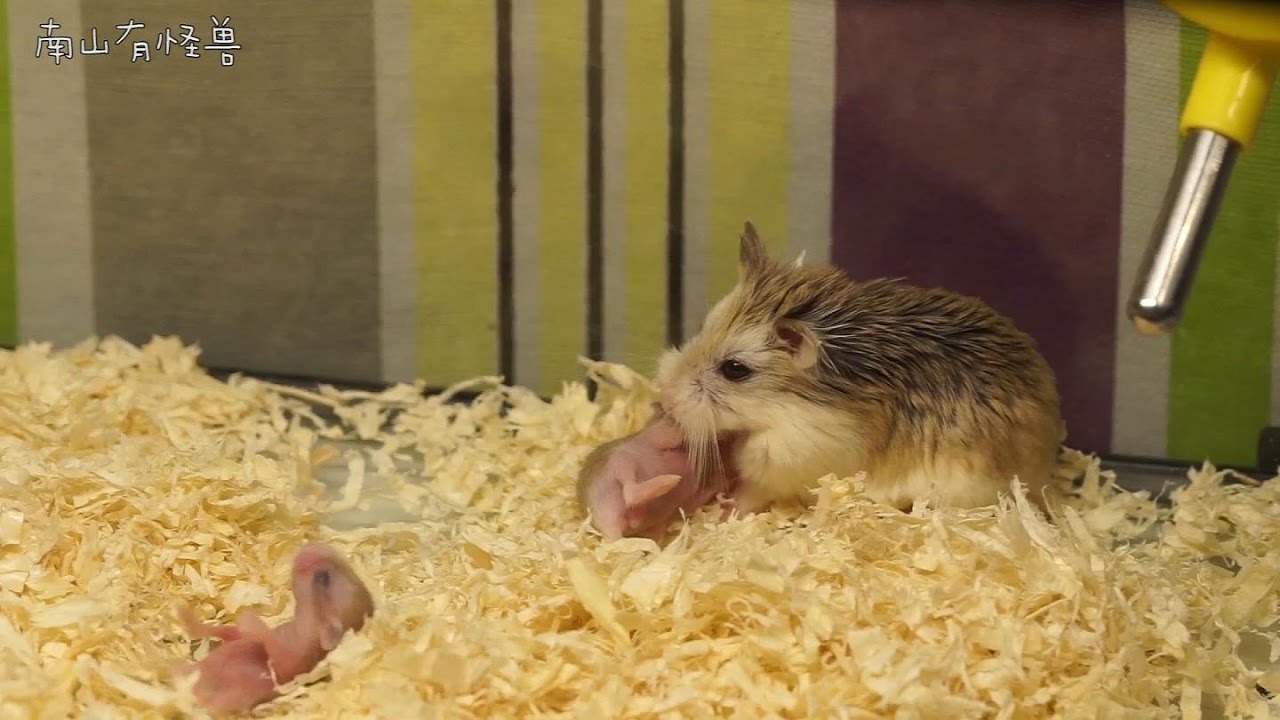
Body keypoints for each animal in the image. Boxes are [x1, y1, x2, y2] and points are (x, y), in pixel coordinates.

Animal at [174, 543, 375, 713]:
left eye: (322, 578)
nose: (311, 545)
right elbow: (245, 634)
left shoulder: (288, 660)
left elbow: (270, 646)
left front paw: (250, 616)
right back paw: (184, 615)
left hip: (234, 696)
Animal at [576, 407, 738, 540]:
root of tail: (607, 524)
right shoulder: (664, 435)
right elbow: (676, 436)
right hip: (620, 462)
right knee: (631, 493)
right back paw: (670, 481)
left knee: (637, 518)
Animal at [653, 222, 1066, 518]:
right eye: (702, 327)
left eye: (735, 370)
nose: (665, 400)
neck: (786, 407)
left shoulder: (790, 461)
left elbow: (752, 491)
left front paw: (726, 513)